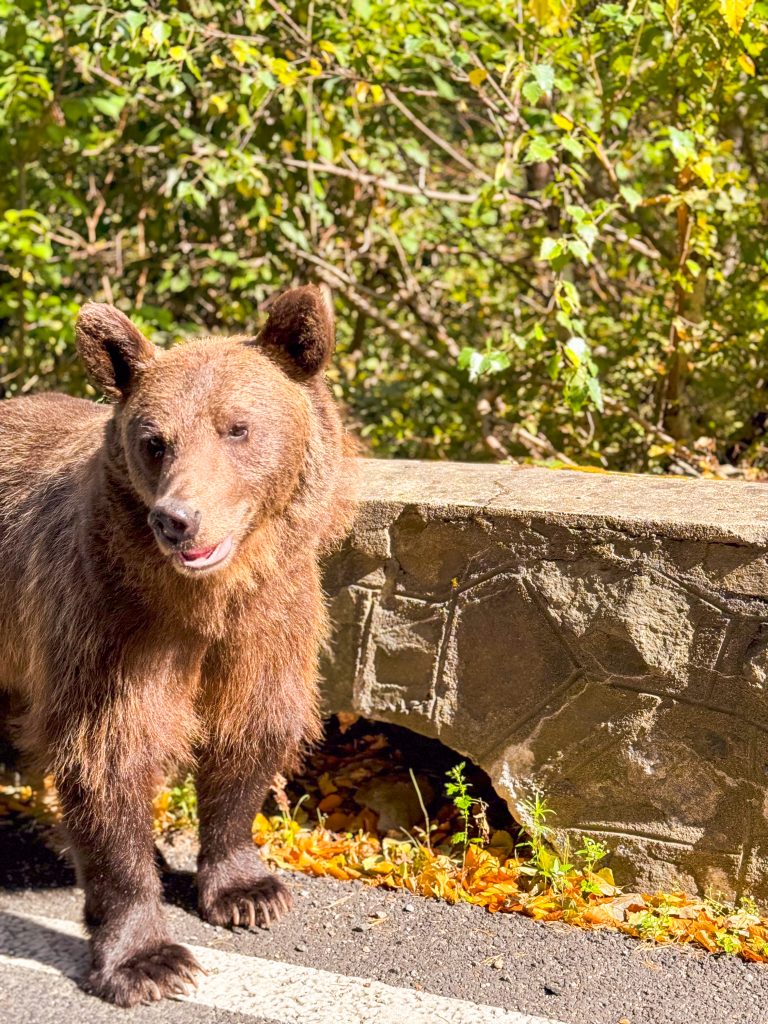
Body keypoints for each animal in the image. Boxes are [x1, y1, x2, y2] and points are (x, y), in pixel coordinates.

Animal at [0, 284, 356, 1003]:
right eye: (154, 440)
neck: (206, 598)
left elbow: (253, 728)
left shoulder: (269, 618)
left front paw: (248, 892)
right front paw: (148, 959)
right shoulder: (112, 622)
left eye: (237, 427)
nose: (177, 519)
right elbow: (108, 756)